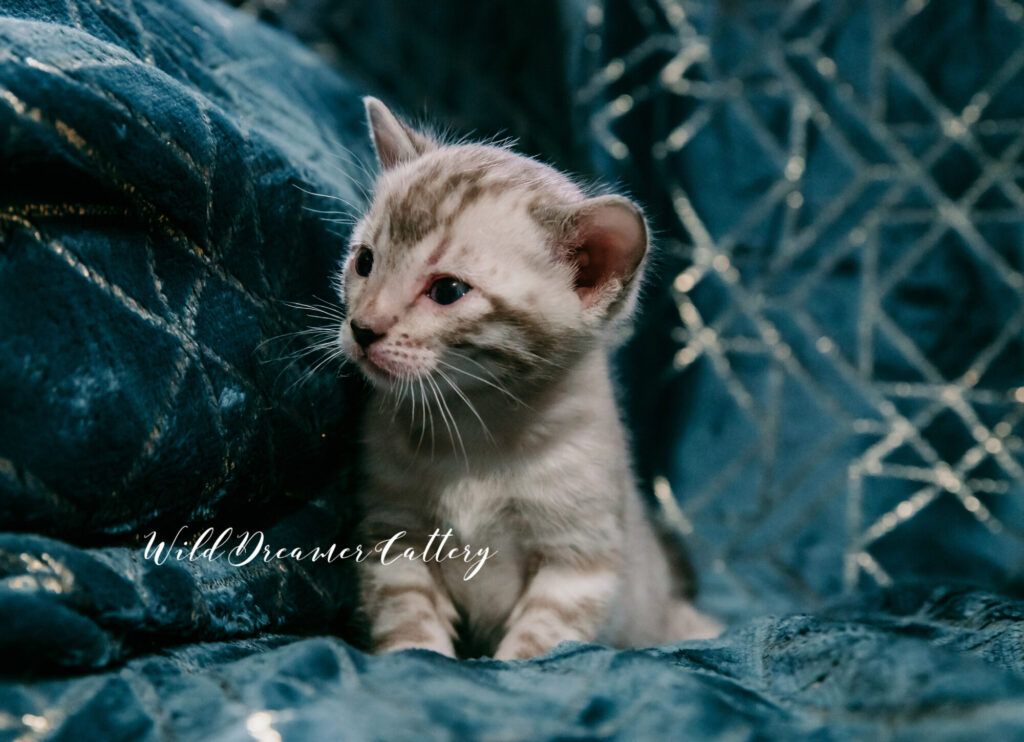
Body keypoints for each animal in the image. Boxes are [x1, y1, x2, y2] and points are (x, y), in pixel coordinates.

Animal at [335, 98, 720, 659]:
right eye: (364, 261)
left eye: (447, 291)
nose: (363, 328)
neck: (475, 425)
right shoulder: (395, 535)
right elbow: (409, 627)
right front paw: (417, 663)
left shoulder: (579, 563)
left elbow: (536, 646)